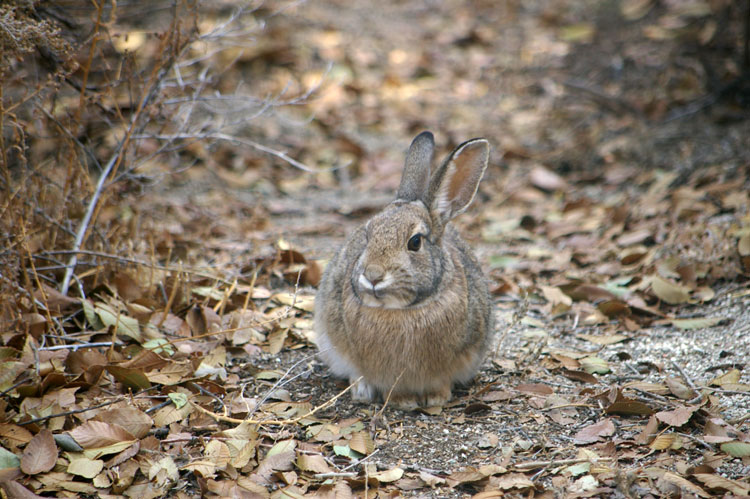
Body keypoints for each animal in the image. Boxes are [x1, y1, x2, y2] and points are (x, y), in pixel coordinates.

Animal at [314, 133, 496, 410]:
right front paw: (405, 402)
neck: (402, 311)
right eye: (368, 234)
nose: (373, 275)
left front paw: (437, 398)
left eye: (415, 242)